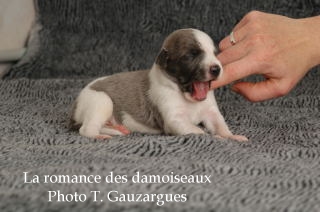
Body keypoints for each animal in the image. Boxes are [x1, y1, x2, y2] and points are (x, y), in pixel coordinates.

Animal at [70, 28, 248, 141]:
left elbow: (220, 124)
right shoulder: (174, 119)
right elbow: (198, 131)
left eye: (215, 53)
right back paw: (99, 135)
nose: (216, 69)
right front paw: (215, 137)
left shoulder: (211, 112)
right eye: (191, 55)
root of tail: (75, 107)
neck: (187, 97)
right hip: (101, 101)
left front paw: (230, 136)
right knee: (85, 129)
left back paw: (116, 129)